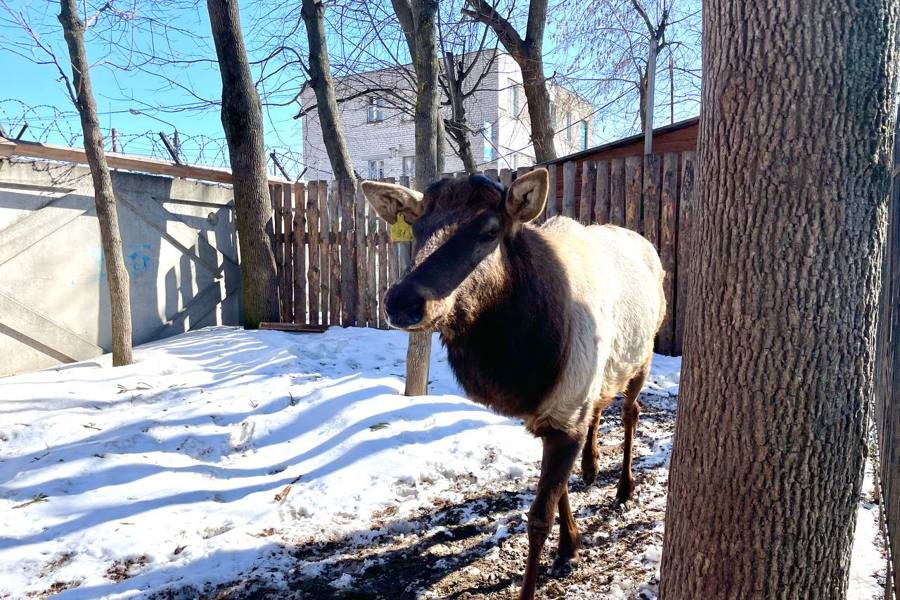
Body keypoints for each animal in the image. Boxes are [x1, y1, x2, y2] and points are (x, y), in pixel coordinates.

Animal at [362, 169, 664, 600]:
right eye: (417, 229)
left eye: (490, 231)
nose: (402, 302)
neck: (525, 372)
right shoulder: (553, 413)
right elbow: (559, 492)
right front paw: (570, 546)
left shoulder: (565, 414)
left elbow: (539, 518)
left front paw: (550, 566)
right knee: (601, 407)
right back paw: (591, 467)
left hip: (645, 351)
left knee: (630, 411)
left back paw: (624, 489)